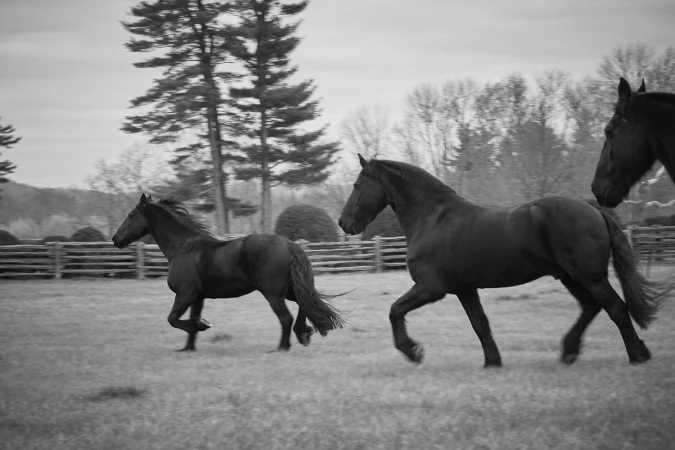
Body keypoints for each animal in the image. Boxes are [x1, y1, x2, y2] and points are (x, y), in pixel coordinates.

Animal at [112, 194, 346, 352]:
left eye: (131, 215)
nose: (116, 239)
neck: (183, 247)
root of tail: (290, 244)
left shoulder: (185, 294)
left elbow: (173, 319)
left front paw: (202, 325)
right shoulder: (197, 297)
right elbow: (188, 319)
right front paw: (188, 347)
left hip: (273, 294)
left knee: (286, 318)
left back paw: (282, 347)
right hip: (288, 290)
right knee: (303, 305)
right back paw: (303, 333)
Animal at [339, 155, 673, 367]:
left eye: (357, 185)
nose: (344, 223)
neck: (433, 218)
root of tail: (595, 210)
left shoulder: (431, 288)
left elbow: (395, 310)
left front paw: (413, 352)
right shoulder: (464, 289)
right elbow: (480, 324)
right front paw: (492, 362)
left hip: (589, 276)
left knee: (615, 308)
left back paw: (637, 355)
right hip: (570, 276)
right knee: (591, 307)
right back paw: (569, 352)